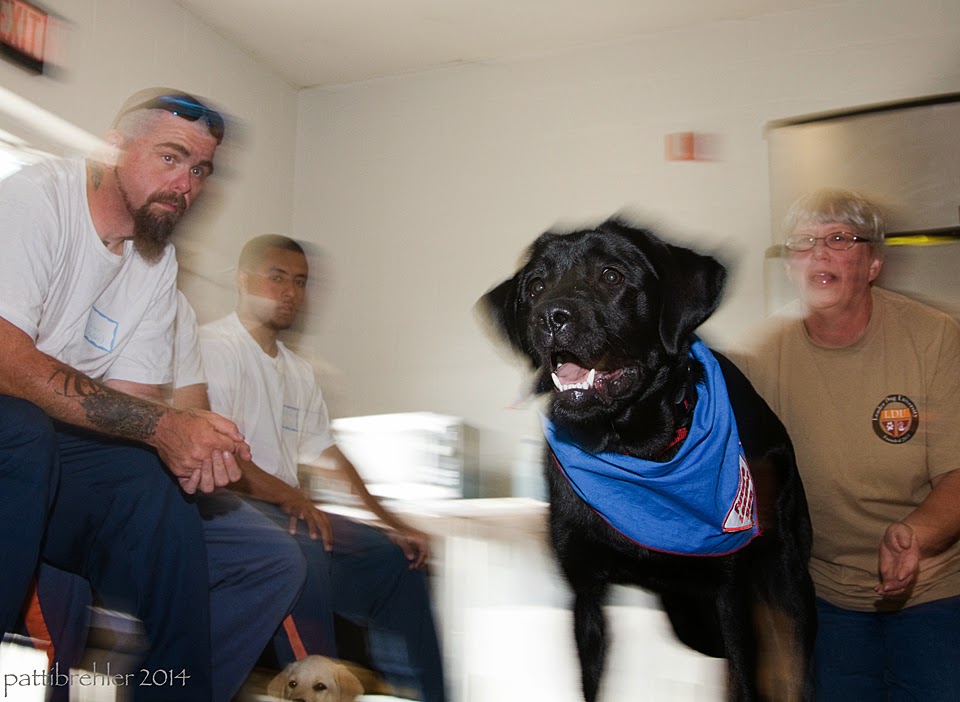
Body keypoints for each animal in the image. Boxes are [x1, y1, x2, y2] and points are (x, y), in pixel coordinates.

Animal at [479, 218, 816, 702]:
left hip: (785, 574)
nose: (549, 316)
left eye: (612, 275)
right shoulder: (585, 592)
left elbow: (746, 681)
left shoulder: (729, 592)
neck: (633, 454)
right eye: (536, 286)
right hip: (688, 615)